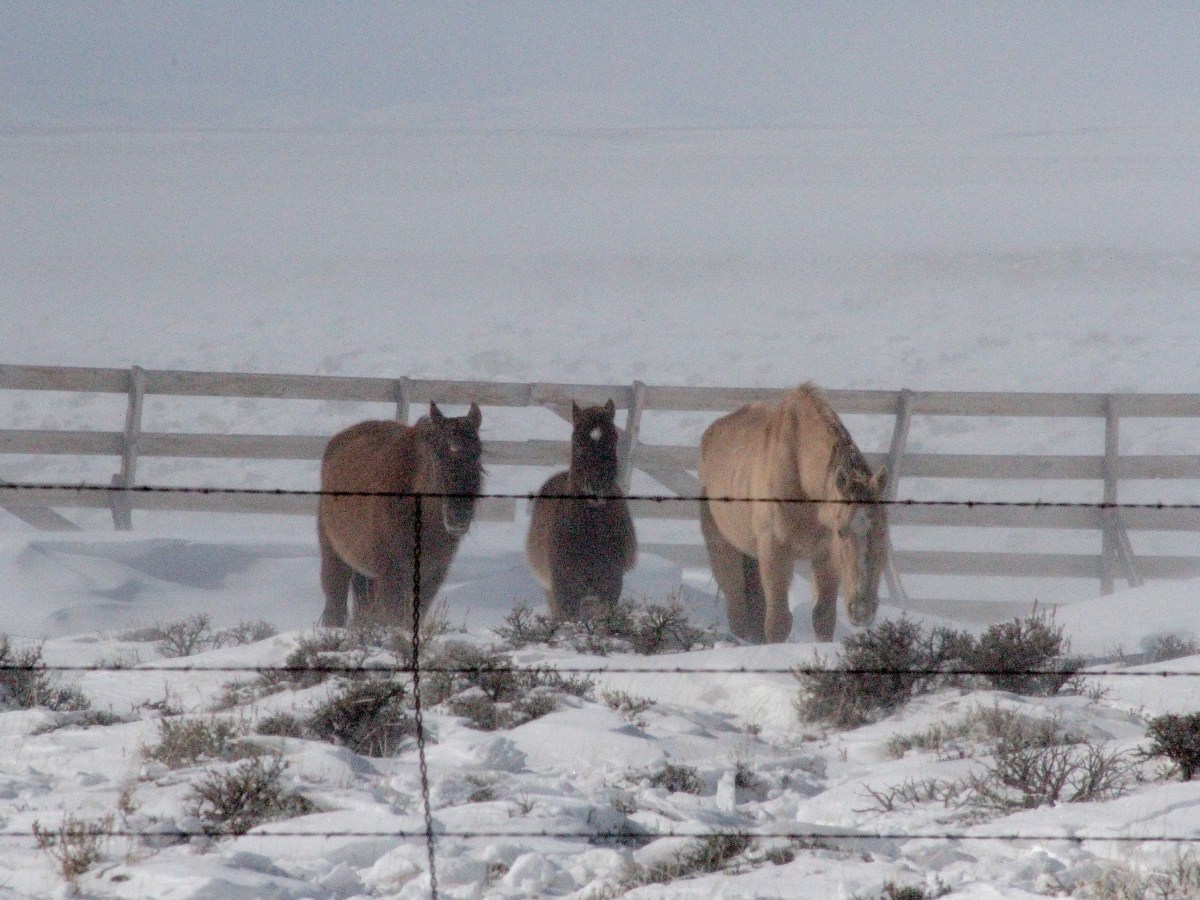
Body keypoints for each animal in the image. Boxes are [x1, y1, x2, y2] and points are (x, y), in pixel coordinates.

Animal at [317, 402, 483, 629]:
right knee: (335, 607)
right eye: (437, 456)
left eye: (478, 454)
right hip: (335, 557)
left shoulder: (431, 576)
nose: (458, 515)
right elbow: (393, 617)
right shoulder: (391, 575)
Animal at [698, 383, 888, 643]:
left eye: (883, 532)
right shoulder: (775, 552)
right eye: (841, 532)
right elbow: (778, 622)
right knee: (737, 612)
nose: (862, 610)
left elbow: (823, 618)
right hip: (723, 549)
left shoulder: (826, 556)